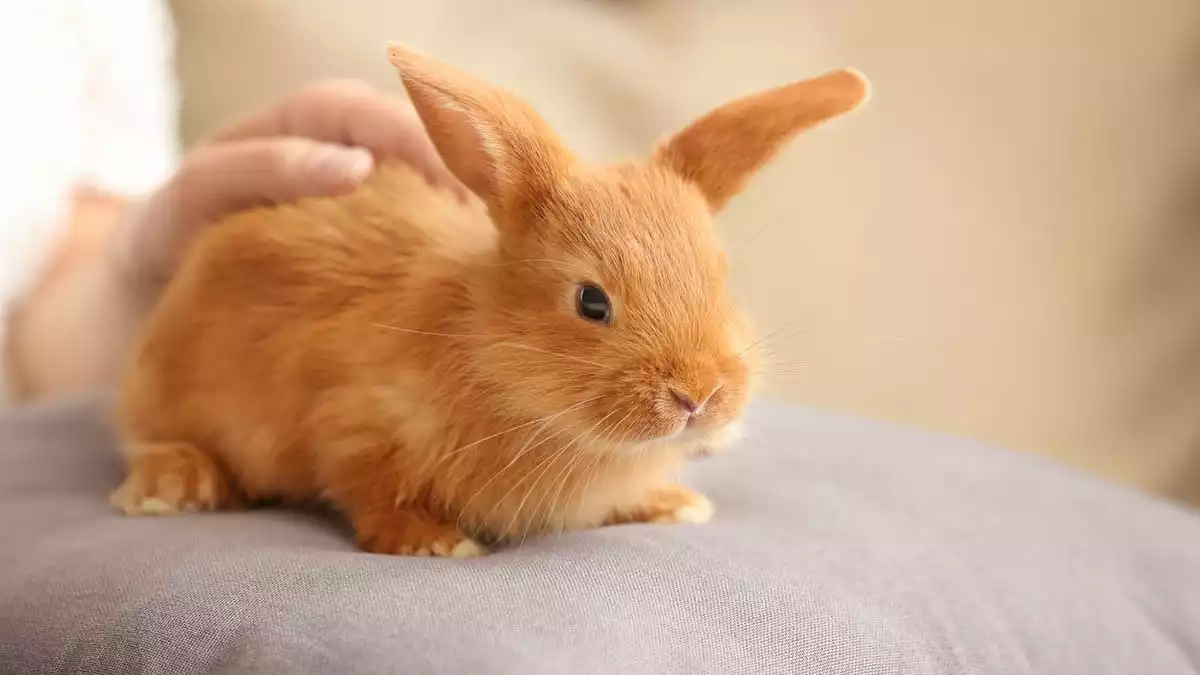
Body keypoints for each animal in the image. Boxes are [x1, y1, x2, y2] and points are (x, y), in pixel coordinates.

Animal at [108, 44, 868, 554]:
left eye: (721, 275)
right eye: (592, 302)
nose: (699, 395)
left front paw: (674, 504)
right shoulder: (351, 425)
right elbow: (369, 491)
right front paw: (434, 542)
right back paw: (172, 486)